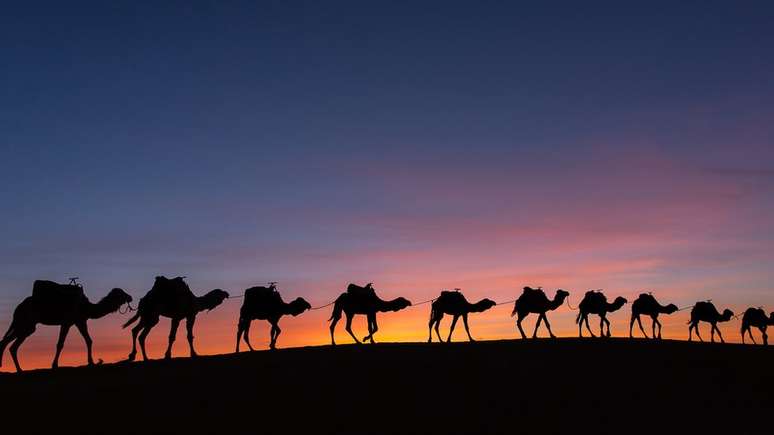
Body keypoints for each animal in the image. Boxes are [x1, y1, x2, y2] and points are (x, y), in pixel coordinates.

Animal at [0, 282, 132, 372]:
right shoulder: (67, 322)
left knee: (8, 344)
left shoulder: (80, 321)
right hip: (26, 323)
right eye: (121, 293)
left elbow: (89, 340)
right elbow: (60, 344)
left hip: (26, 325)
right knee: (8, 343)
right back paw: (18, 369)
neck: (86, 307)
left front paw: (92, 362)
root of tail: (18, 307)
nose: (130, 297)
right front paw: (54, 365)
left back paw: (17, 369)